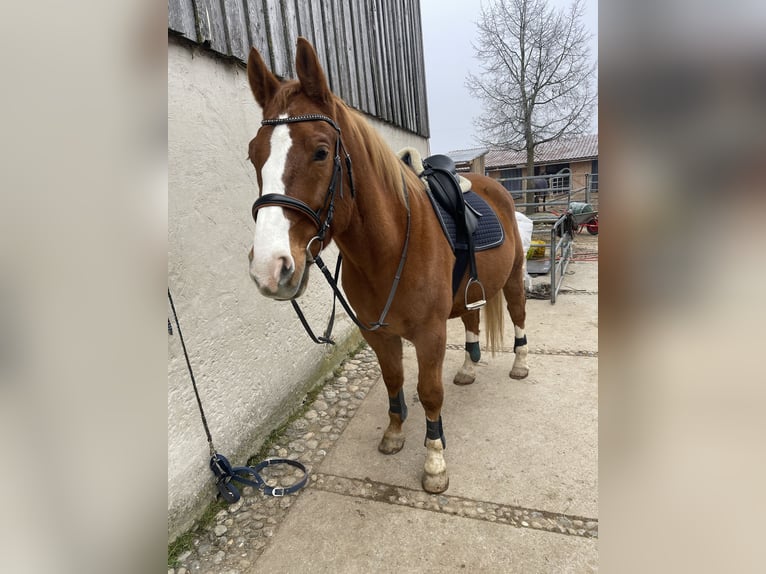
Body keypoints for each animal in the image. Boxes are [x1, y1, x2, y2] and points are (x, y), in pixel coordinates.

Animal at [246, 38, 528, 496]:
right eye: (254, 155)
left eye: (321, 152)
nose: (270, 268)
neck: (390, 249)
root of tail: (495, 186)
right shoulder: (377, 334)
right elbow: (394, 380)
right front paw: (395, 433)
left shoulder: (430, 335)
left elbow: (428, 391)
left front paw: (434, 461)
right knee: (472, 321)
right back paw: (468, 368)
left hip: (513, 281)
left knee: (518, 314)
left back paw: (520, 364)